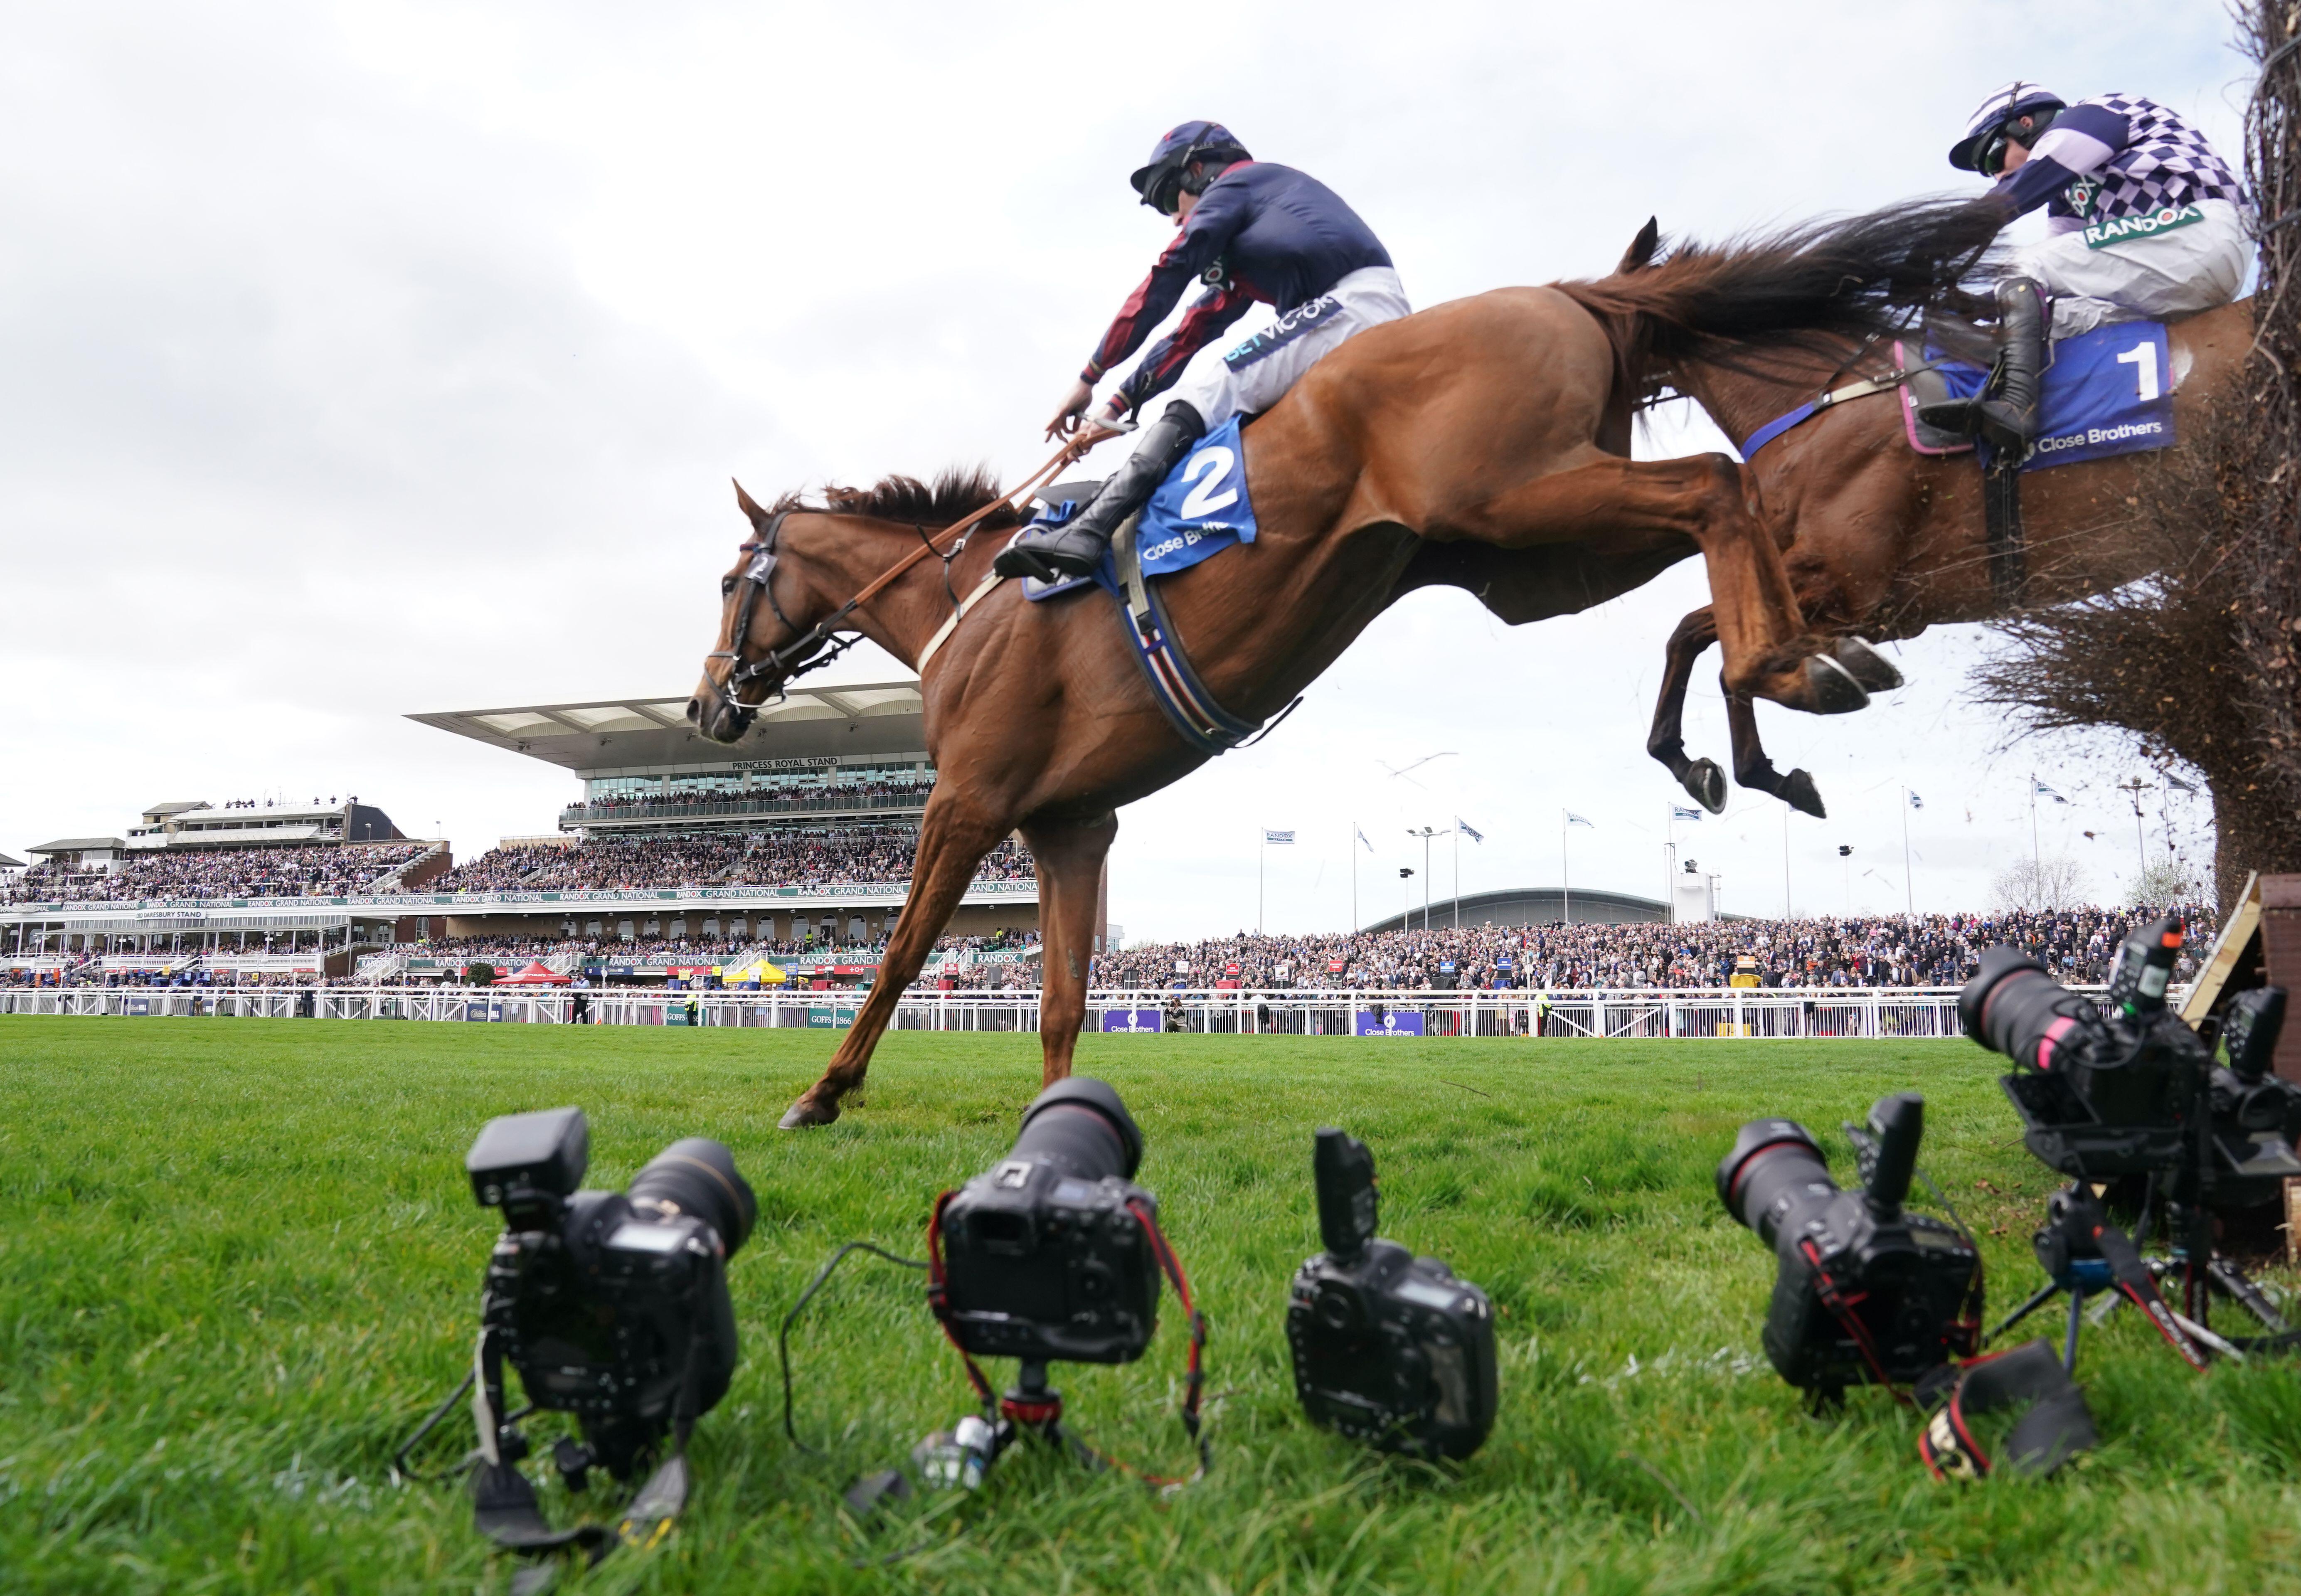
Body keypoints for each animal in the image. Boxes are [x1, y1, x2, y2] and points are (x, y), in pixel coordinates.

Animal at [681, 200, 1997, 1131]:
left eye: (733, 578)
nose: (705, 702)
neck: (973, 606)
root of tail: (1561, 292)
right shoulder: (1069, 827)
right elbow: (1058, 997)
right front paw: (1053, 1129)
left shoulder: (967, 800)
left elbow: (900, 952)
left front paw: (820, 1092)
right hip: (1530, 555)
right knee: (1712, 533)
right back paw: (1776, 696)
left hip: (1516, 495)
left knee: (1718, 488)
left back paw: (1790, 665)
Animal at [1601, 221, 2246, 818]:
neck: (1818, 402)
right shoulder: (1876, 606)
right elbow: (1706, 641)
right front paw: (1735, 767)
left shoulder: (1844, 581)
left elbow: (1714, 648)